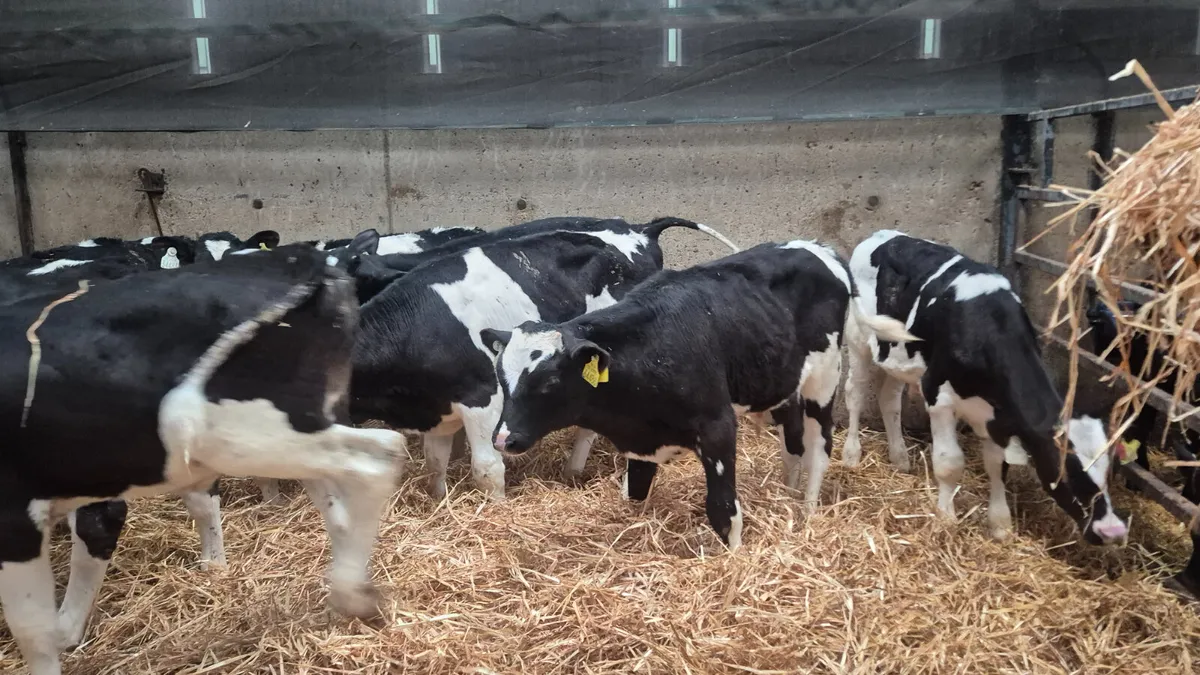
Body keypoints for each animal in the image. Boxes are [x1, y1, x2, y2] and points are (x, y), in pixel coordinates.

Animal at [0, 247, 405, 675]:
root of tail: (304, 257)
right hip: (294, 427)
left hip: (231, 429)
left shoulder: (14, 513)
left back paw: (352, 594)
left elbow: (33, 629)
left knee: (379, 454)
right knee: (336, 502)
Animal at [348, 217, 739, 501]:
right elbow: (434, 464)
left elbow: (487, 469)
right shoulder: (438, 410)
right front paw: (440, 502)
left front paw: (497, 510)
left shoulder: (482, 397)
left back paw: (576, 470)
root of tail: (641, 230)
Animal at [482, 240, 916, 548]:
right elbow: (635, 493)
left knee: (819, 443)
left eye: (548, 382)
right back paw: (787, 493)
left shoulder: (718, 427)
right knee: (792, 441)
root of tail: (820, 248)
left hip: (823, 380)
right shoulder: (641, 439)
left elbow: (723, 510)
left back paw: (808, 507)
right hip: (782, 383)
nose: (503, 439)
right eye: (501, 377)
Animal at [842, 229, 1129, 545]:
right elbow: (949, 464)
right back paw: (851, 454)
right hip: (858, 339)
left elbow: (997, 465)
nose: (1113, 531)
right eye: (1066, 471)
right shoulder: (938, 395)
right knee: (855, 393)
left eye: (1110, 473)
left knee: (889, 400)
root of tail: (883, 235)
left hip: (898, 356)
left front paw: (1001, 524)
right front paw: (946, 517)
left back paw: (900, 457)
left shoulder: (995, 413)